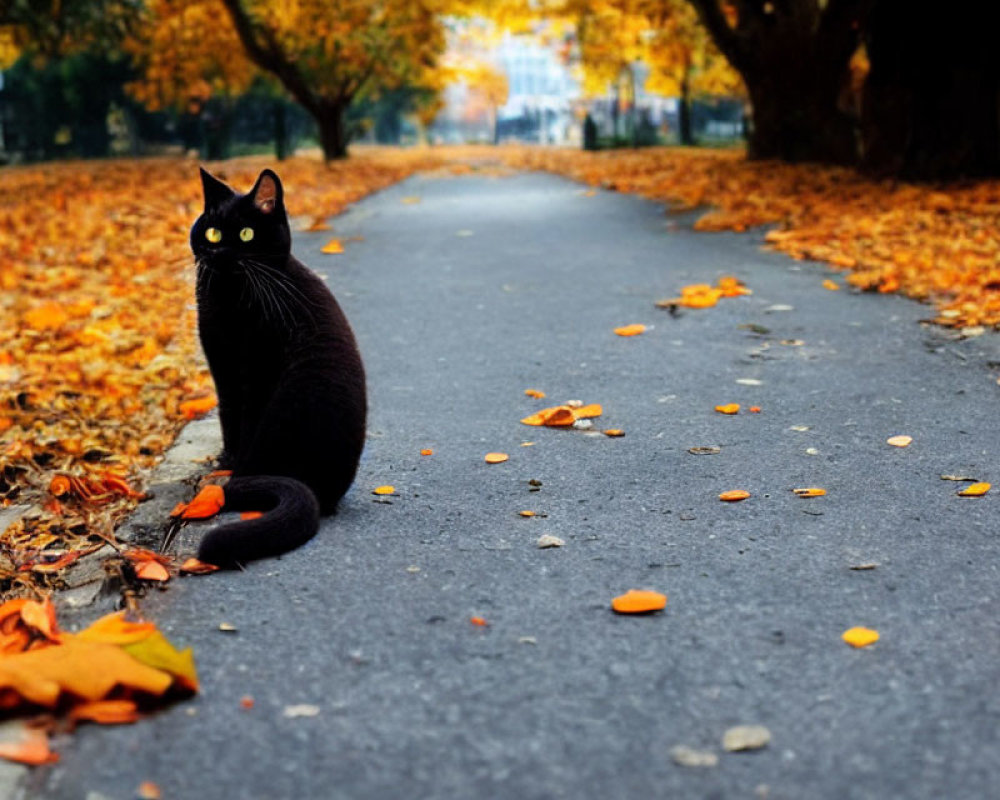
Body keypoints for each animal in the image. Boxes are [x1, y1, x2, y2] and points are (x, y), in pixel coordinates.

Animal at [189, 167, 366, 568]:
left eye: (246, 234)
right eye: (213, 233)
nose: (221, 252)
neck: (227, 298)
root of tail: (320, 492)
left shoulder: (257, 368)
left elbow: (244, 423)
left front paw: (232, 468)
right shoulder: (221, 367)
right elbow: (228, 419)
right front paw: (226, 459)